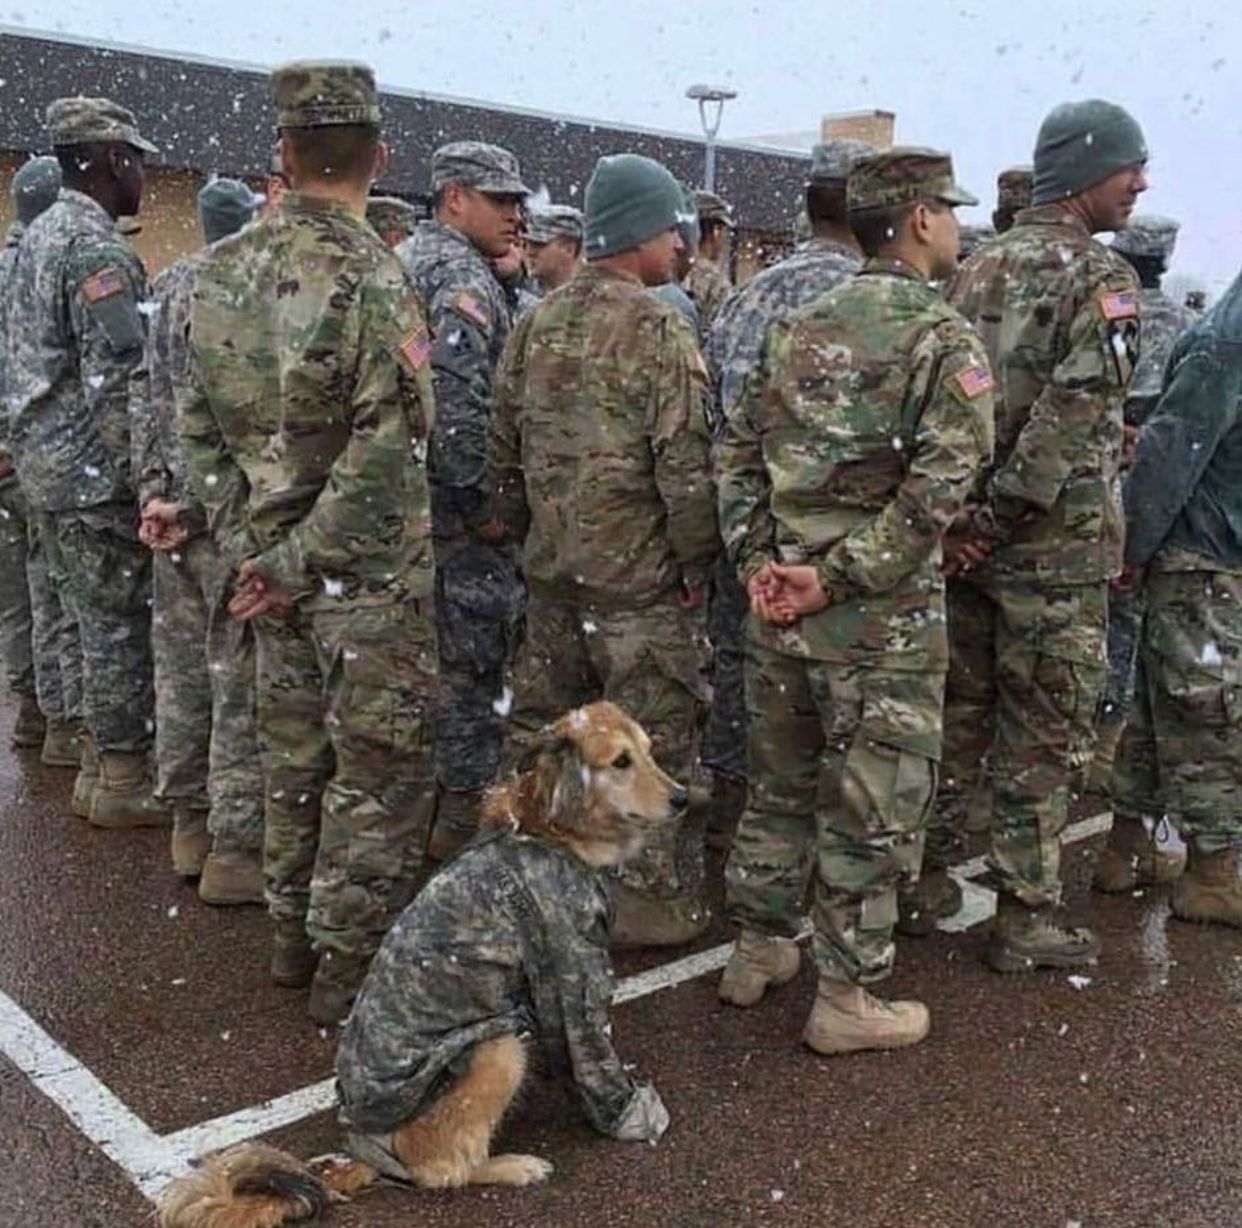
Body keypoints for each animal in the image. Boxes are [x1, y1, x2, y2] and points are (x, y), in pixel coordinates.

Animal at [156, 700, 685, 1226]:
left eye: (649, 750)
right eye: (620, 761)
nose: (682, 799)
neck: (549, 831)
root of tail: (361, 1150)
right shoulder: (573, 965)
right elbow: (593, 1050)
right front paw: (635, 1115)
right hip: (498, 1051)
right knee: (439, 1169)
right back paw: (512, 1165)